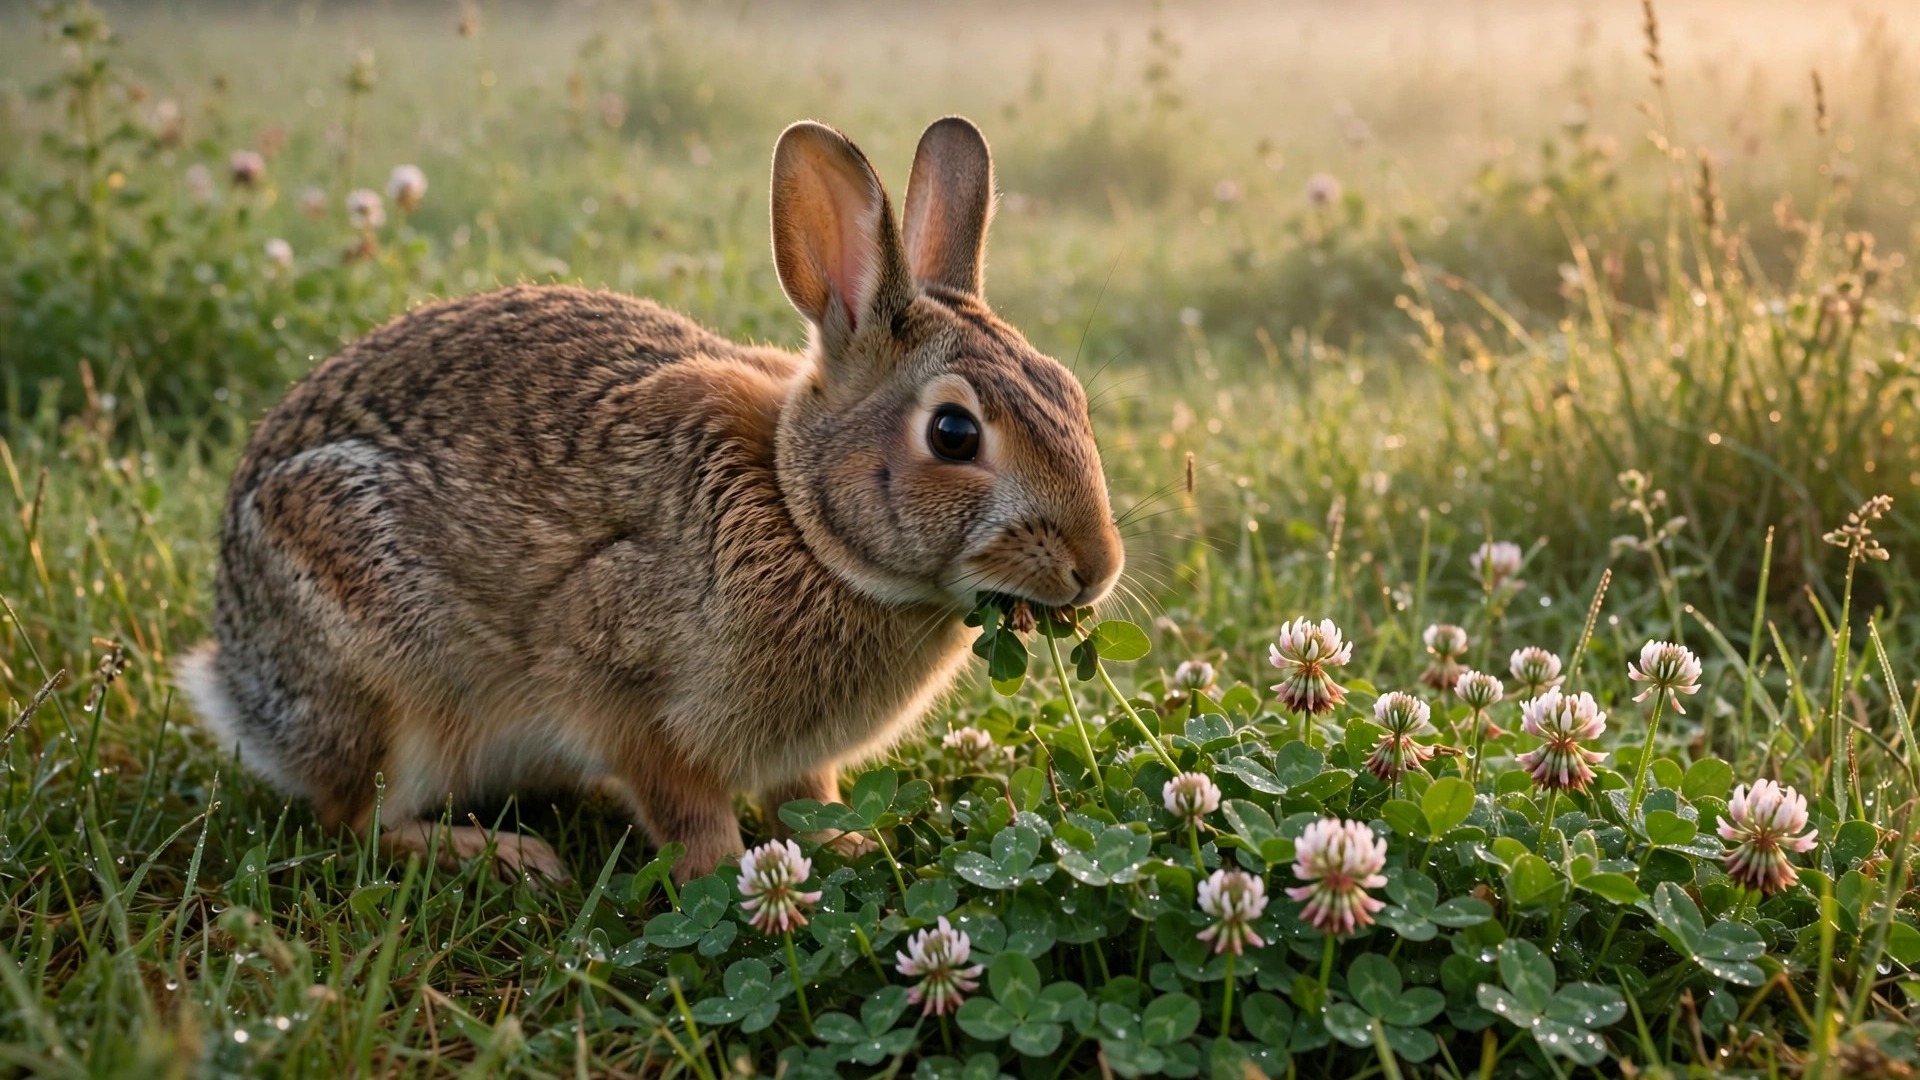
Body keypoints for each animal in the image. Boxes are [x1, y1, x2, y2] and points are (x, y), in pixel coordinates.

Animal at [177, 116, 1125, 883]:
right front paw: (728, 877)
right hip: (390, 680)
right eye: (955, 434)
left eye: (1070, 392)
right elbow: (685, 806)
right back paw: (509, 857)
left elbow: (808, 801)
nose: (1097, 568)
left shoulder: (800, 760)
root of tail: (240, 679)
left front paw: (852, 847)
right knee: (358, 818)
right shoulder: (619, 688)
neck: (801, 517)